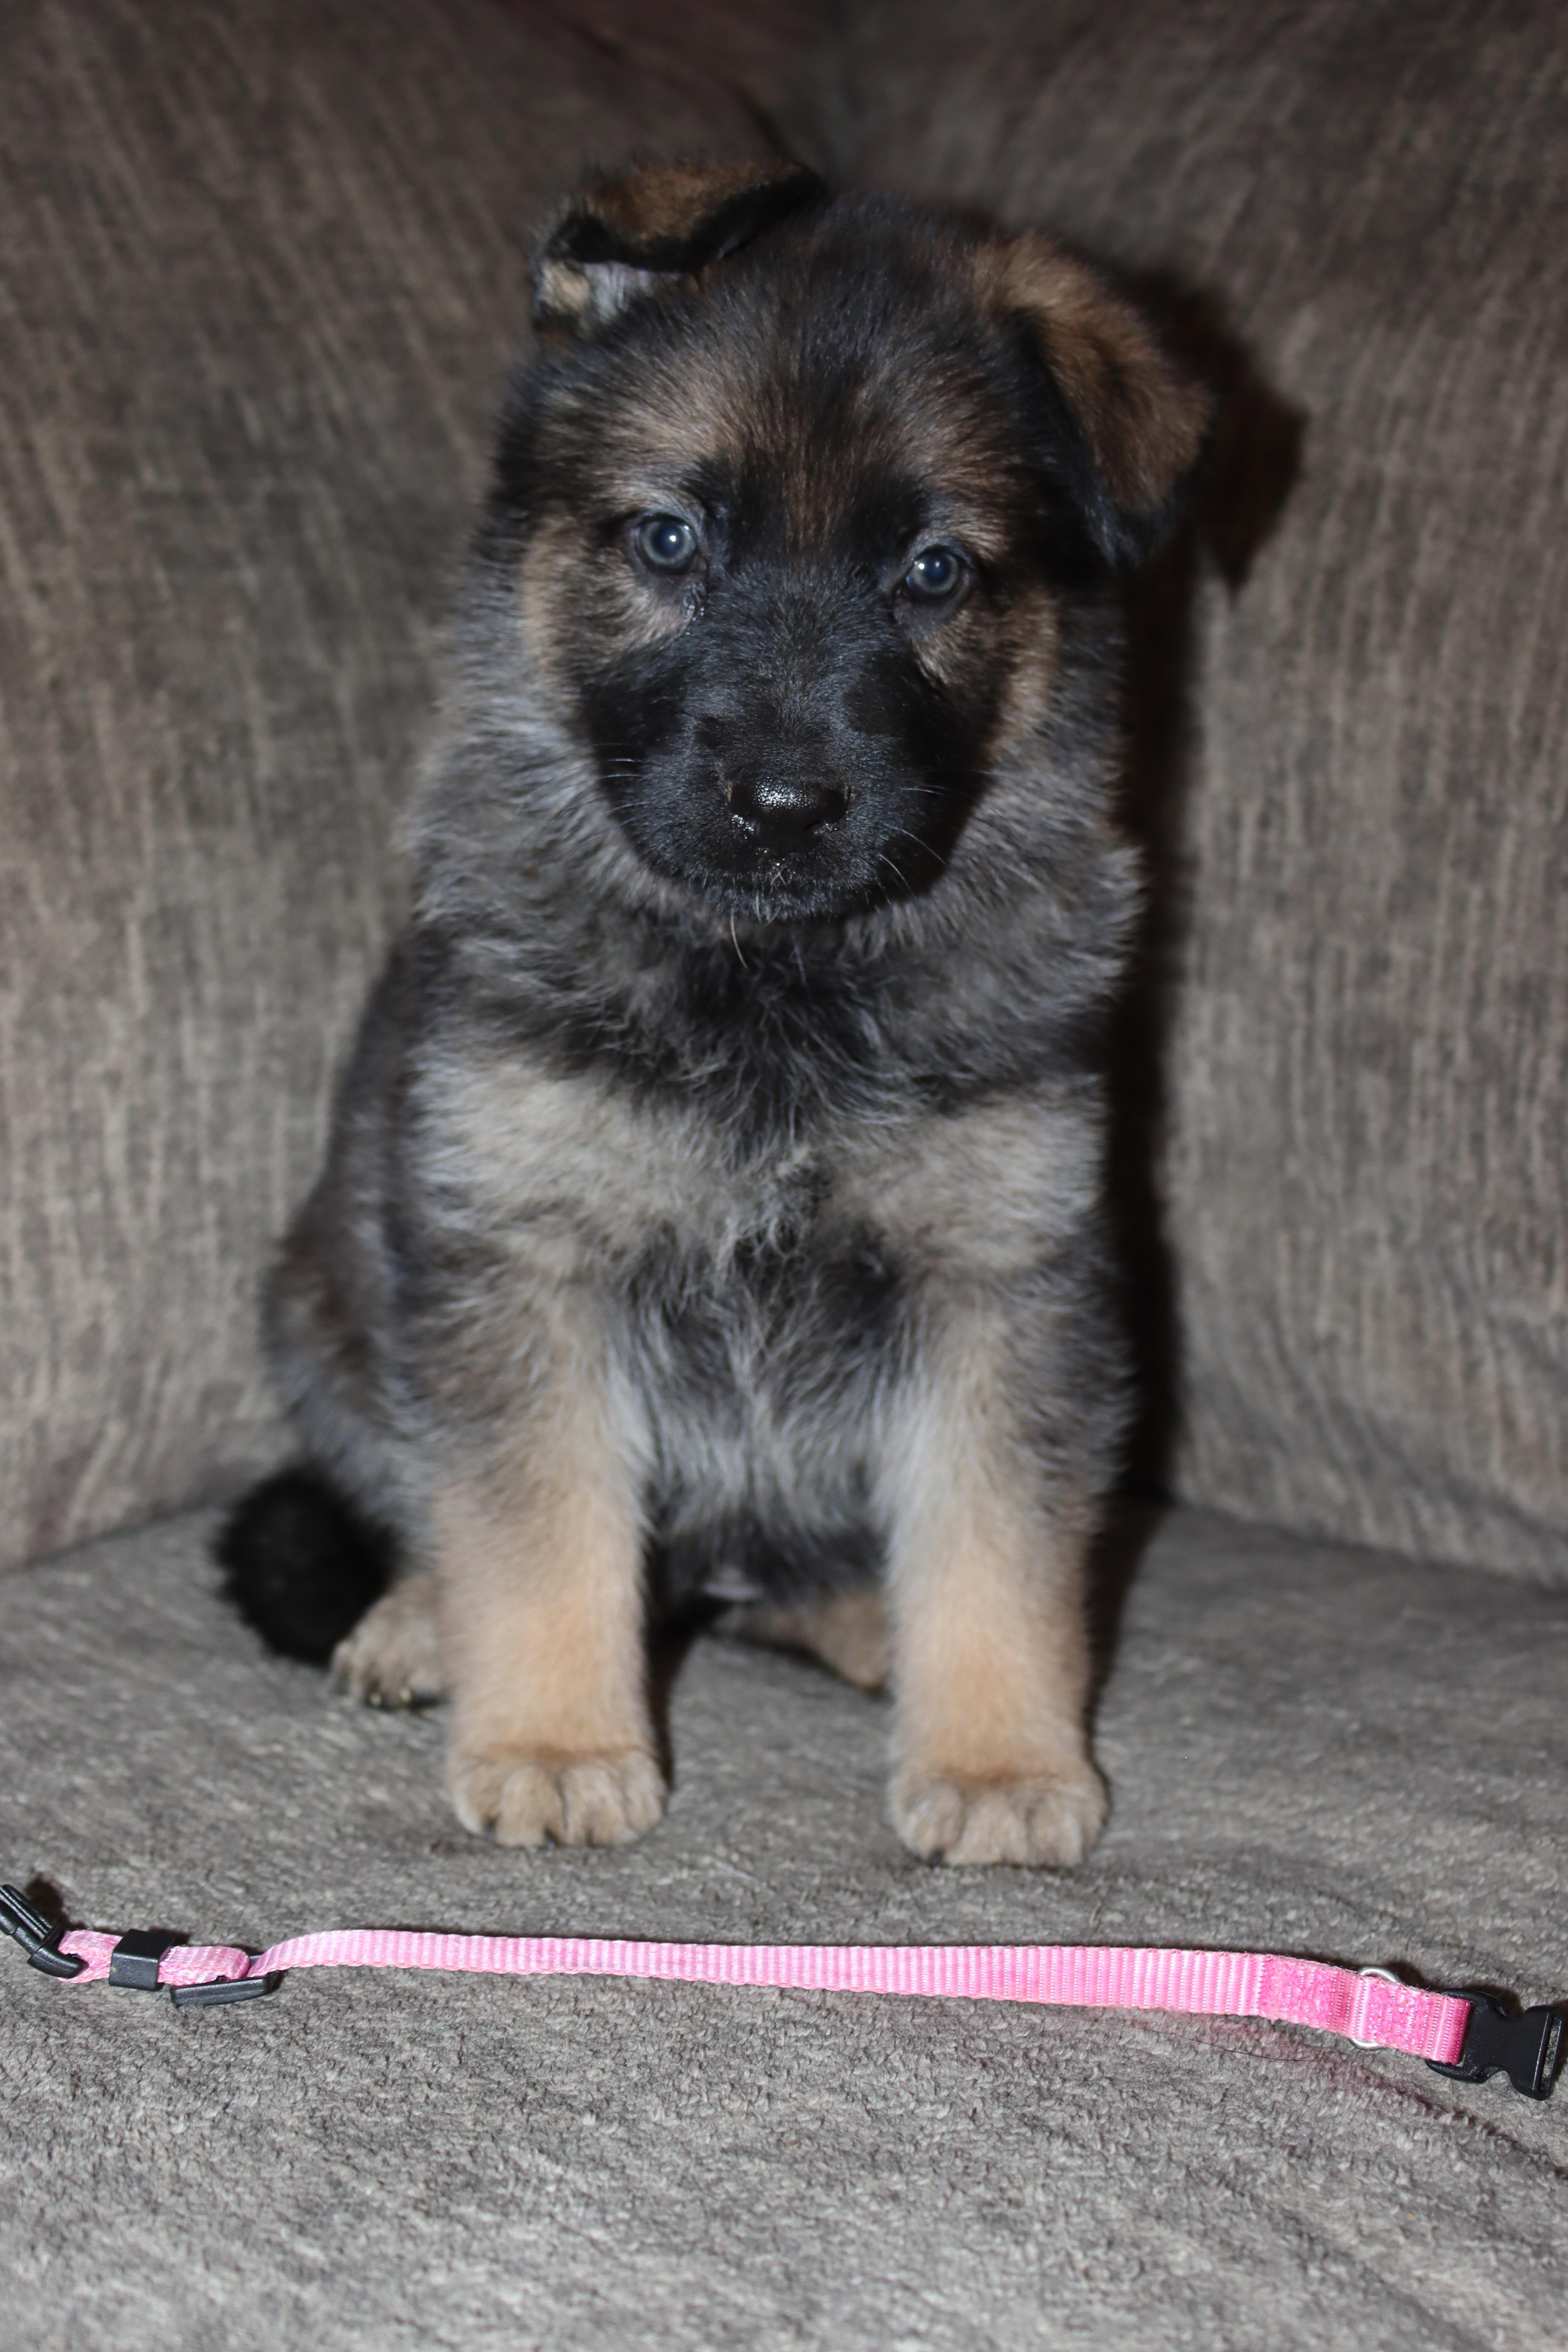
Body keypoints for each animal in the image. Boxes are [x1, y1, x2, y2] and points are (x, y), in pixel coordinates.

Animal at [218, 160, 1207, 1867]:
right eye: (669, 539)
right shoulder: (530, 1264)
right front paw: (554, 1738)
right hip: (326, 1316)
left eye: (933, 570)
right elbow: (536, 1525)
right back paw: (421, 1622)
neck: (773, 981)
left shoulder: (998, 1276)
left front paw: (998, 1757)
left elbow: (995, 1539)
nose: (785, 806)